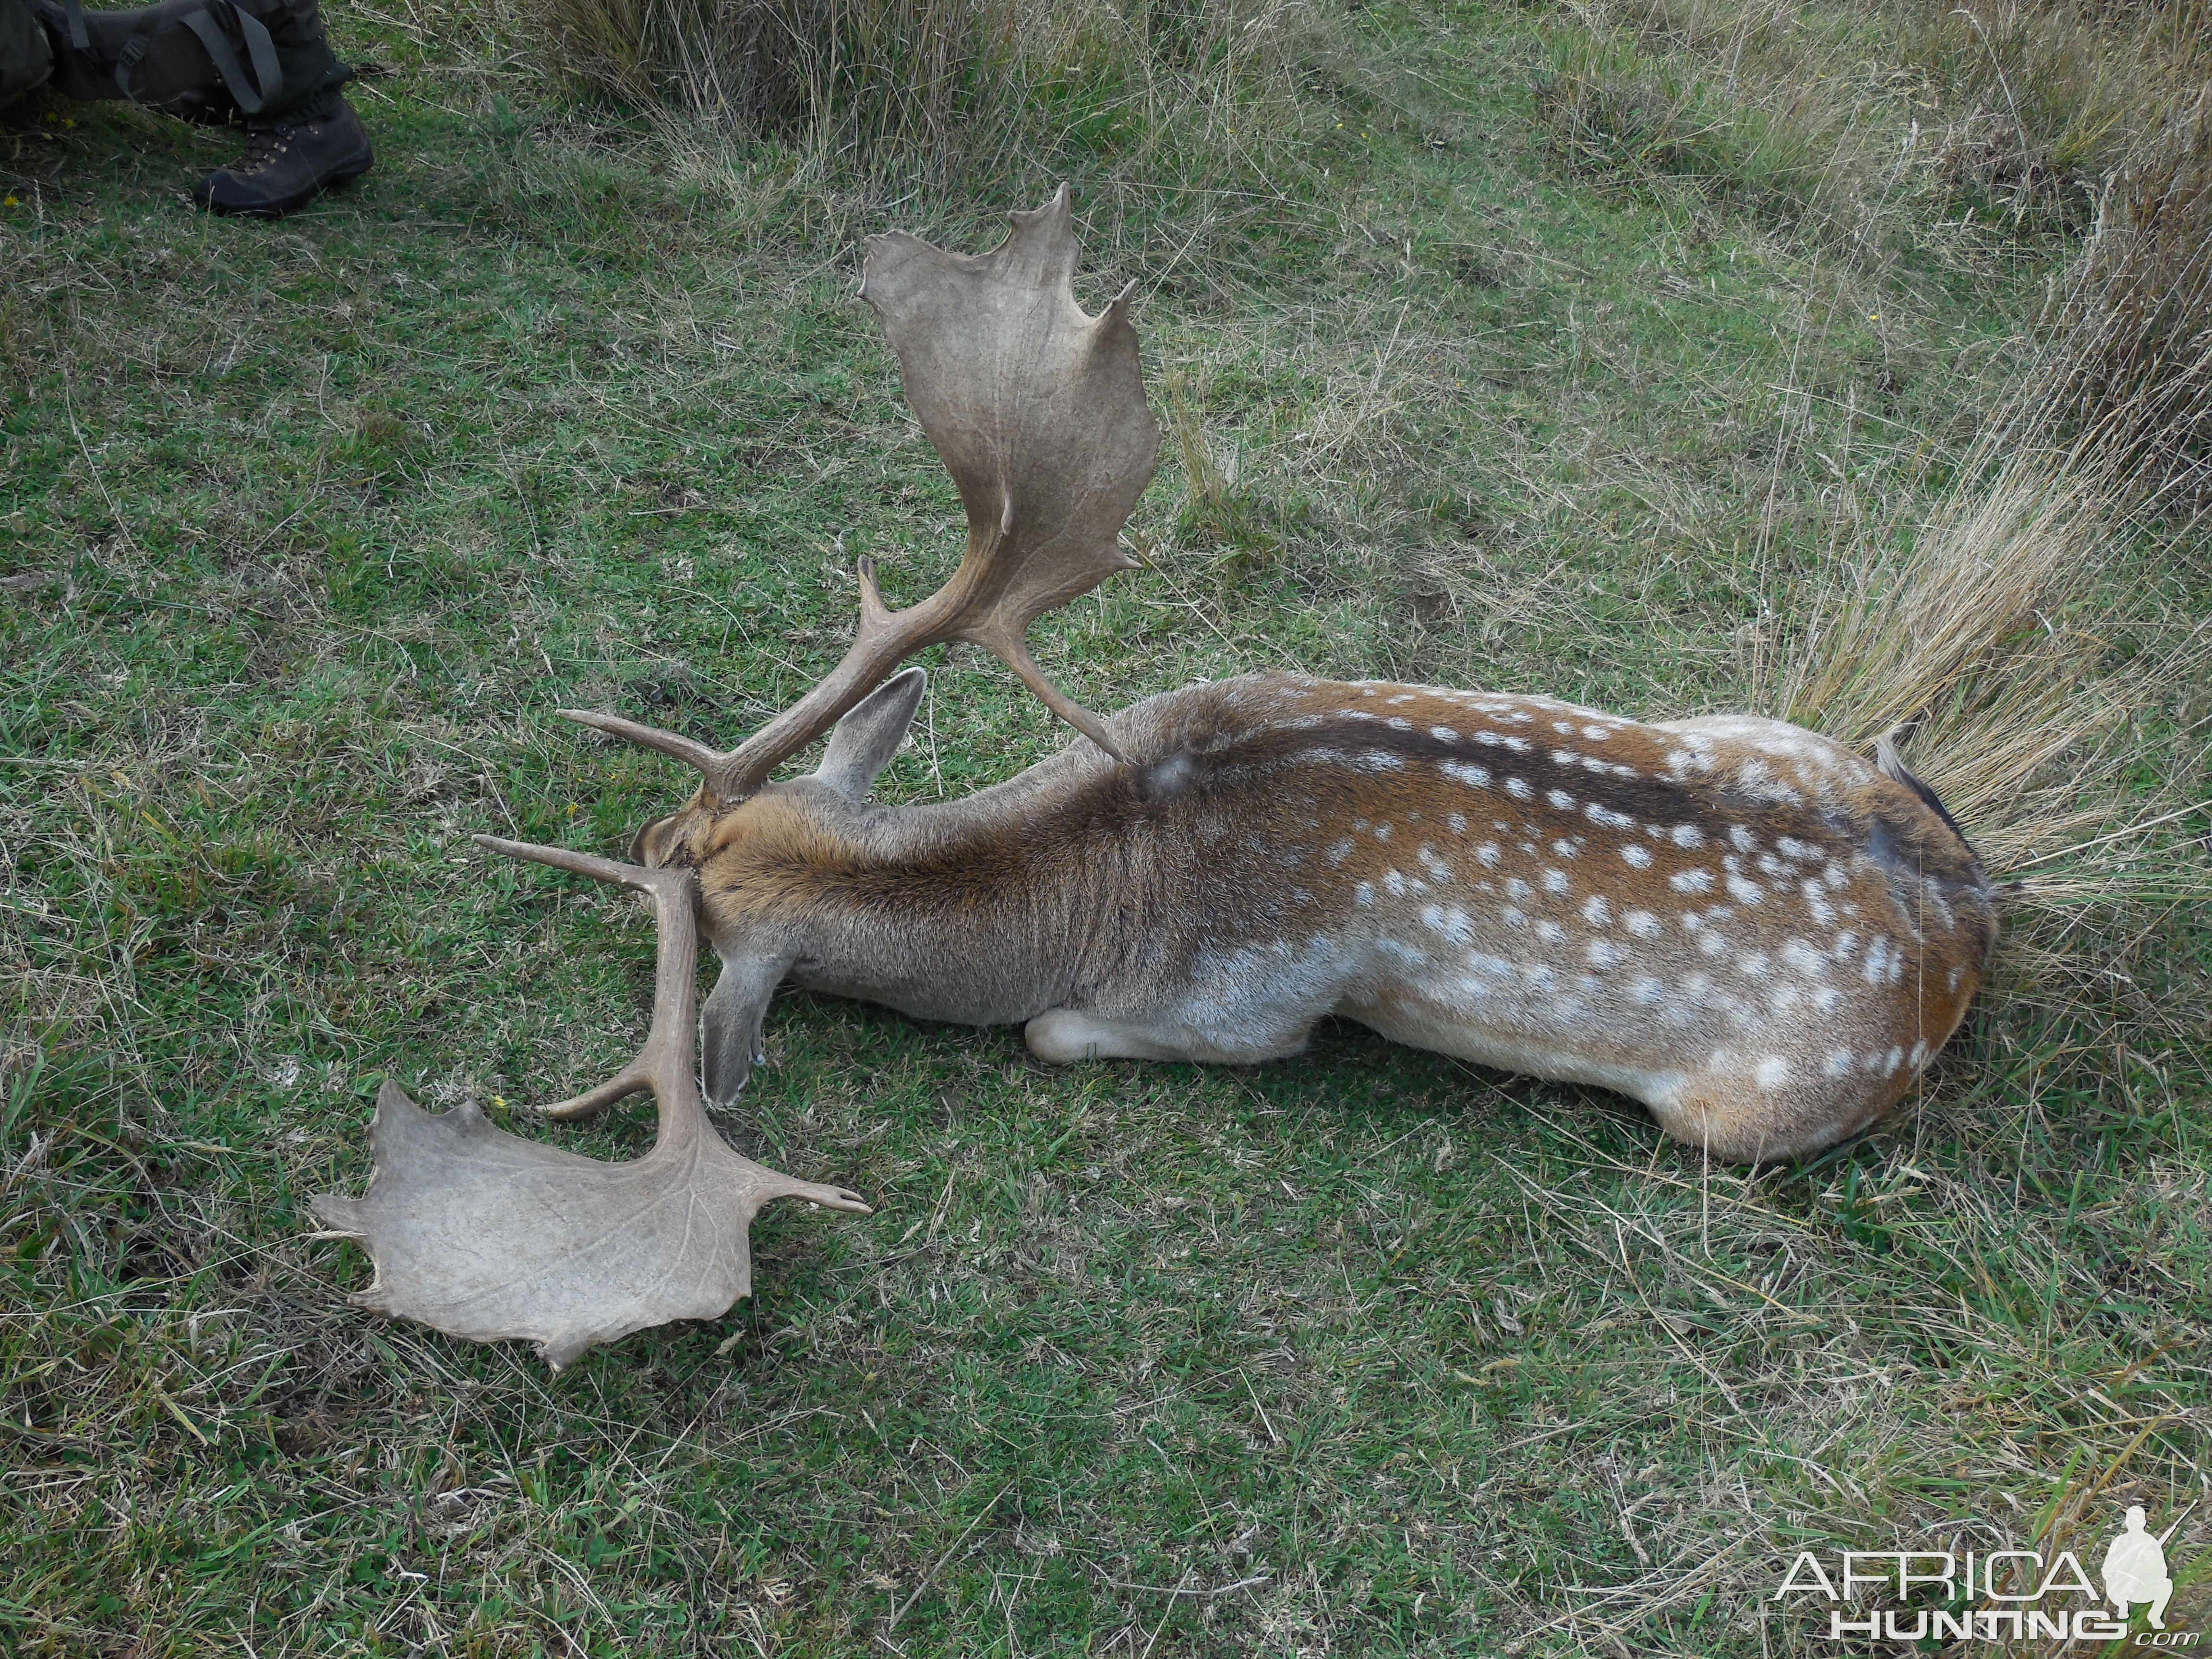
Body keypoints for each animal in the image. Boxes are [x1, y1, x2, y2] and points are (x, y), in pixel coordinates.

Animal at [316, 188, 2008, 1371]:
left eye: (707, 924)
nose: (648, 826)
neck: (1110, 863)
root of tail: (1977, 917)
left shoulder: (1255, 1007)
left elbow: (1057, 1034)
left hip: (1759, 1112)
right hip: (1769, 722)